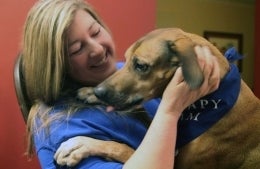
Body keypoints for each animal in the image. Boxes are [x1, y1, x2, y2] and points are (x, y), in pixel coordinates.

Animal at [62, 27, 260, 168]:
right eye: (125, 60)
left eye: (141, 66)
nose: (99, 91)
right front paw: (89, 92)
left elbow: (122, 147)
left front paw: (81, 144)